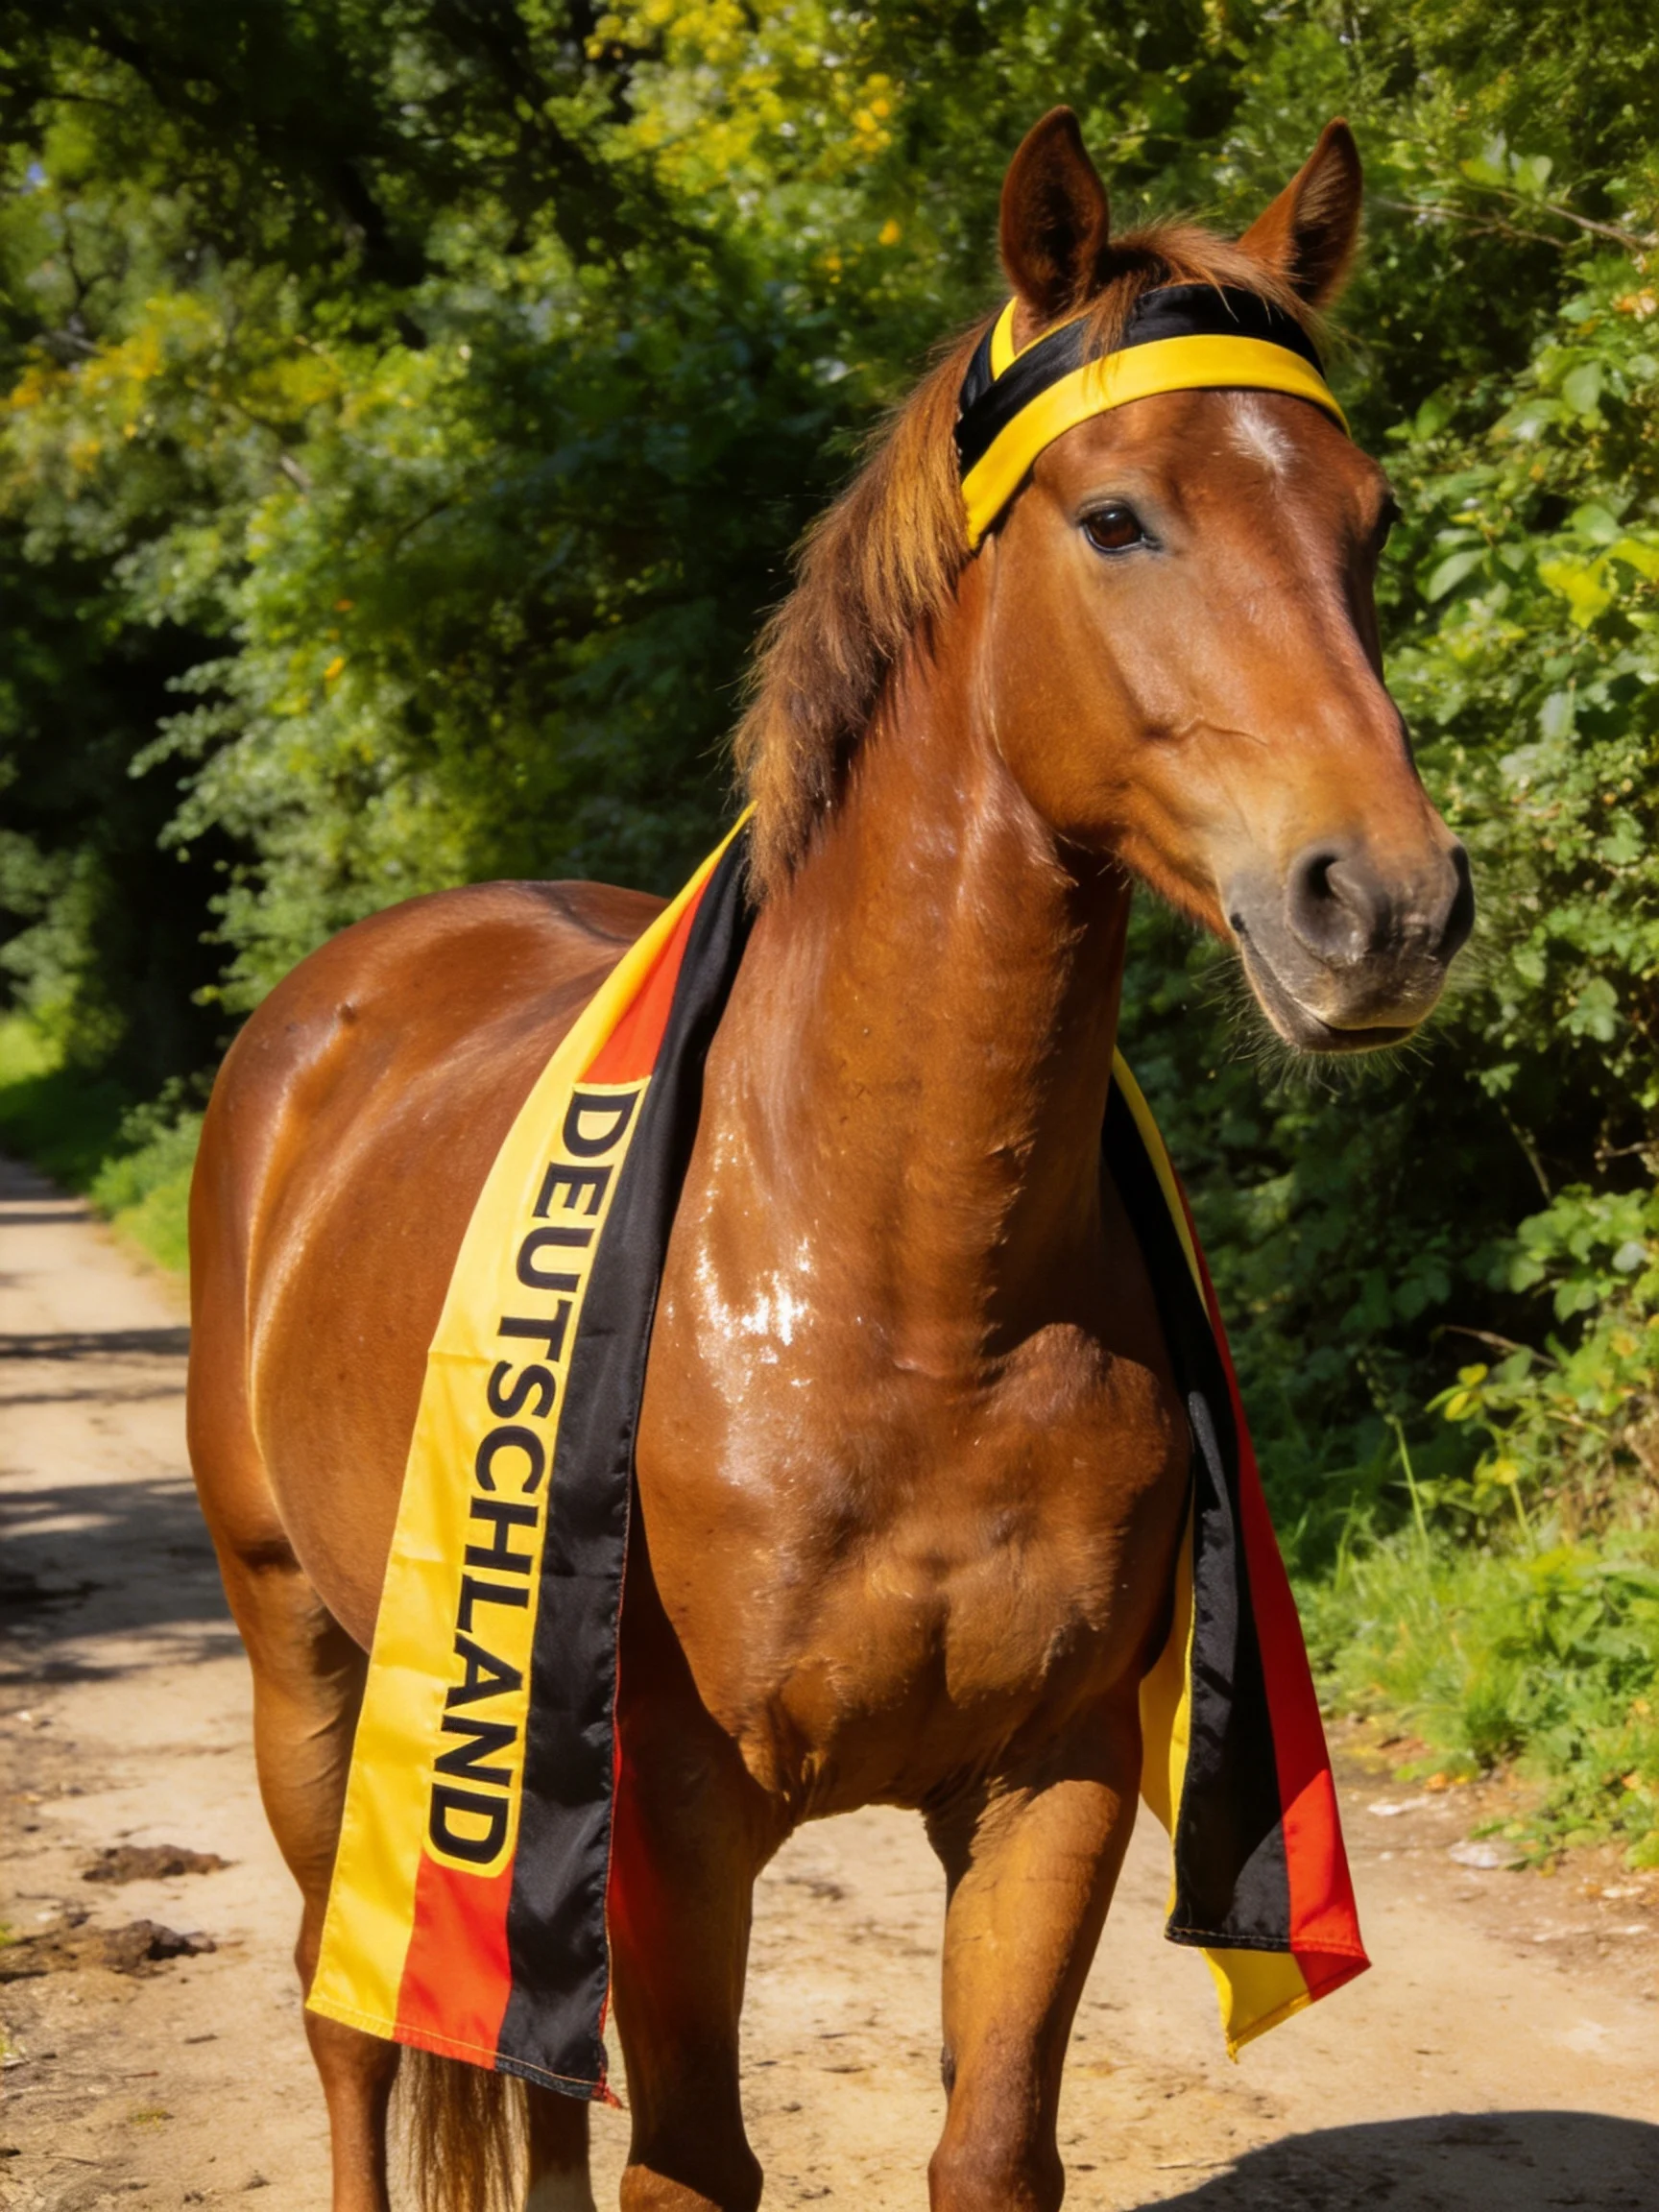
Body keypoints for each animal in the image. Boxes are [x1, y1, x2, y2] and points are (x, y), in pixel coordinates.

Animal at [186, 106, 1472, 2212]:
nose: (1383, 907)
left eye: (1365, 521)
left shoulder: (1048, 1789)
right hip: (307, 1658)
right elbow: (686, 2160)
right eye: (1119, 520)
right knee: (348, 2020)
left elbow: (988, 2146)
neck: (909, 1287)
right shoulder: (667, 1824)